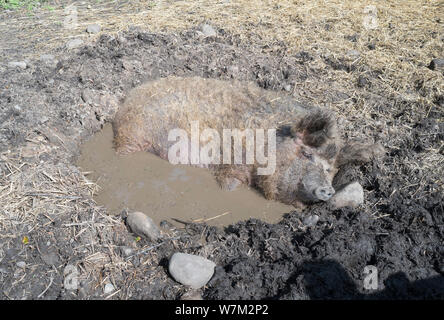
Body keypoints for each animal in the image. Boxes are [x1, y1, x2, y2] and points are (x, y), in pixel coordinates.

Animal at [112, 77, 382, 208]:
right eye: (306, 153)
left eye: (331, 169)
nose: (328, 190)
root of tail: (129, 98)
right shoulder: (231, 164)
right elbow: (228, 184)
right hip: (134, 136)